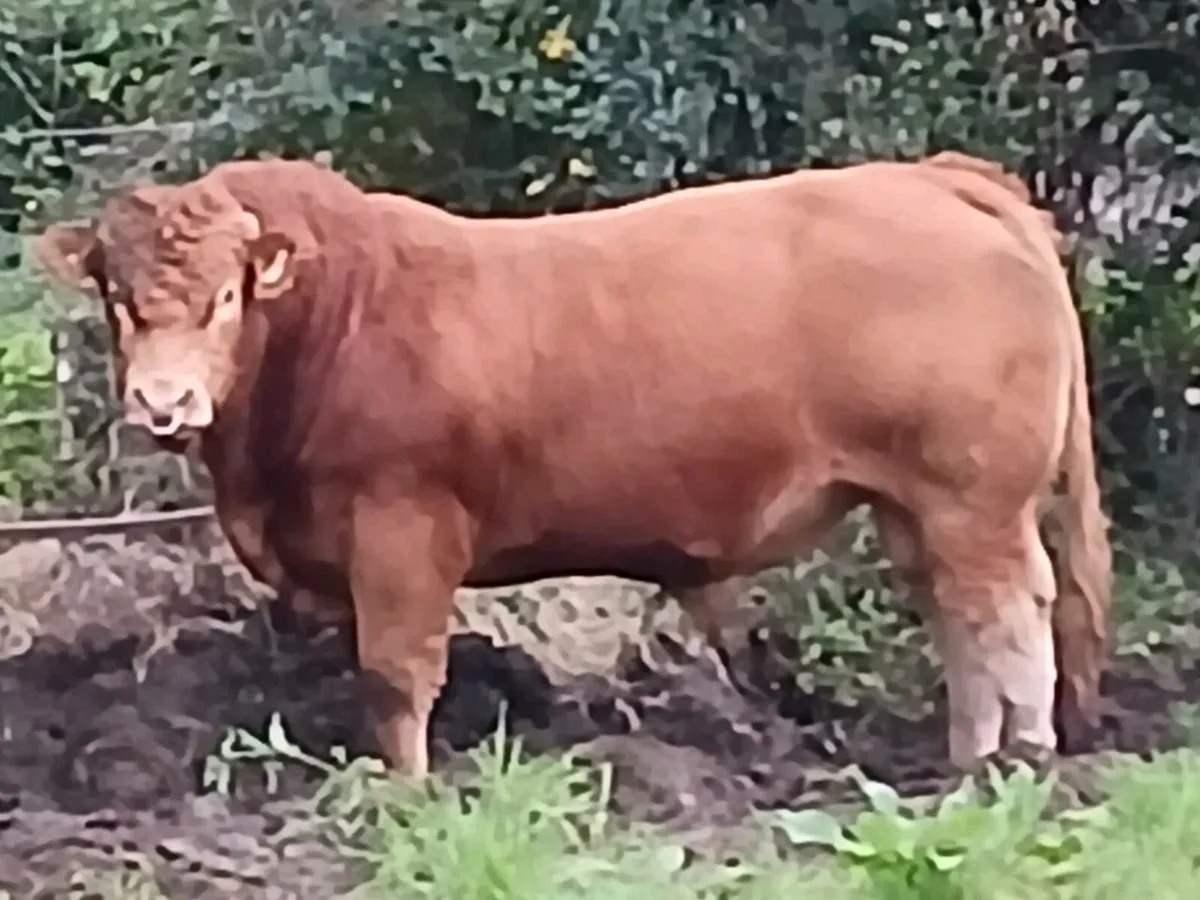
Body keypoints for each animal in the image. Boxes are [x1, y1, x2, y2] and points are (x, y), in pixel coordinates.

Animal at [34, 151, 1111, 777]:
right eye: (117, 299)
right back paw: (965, 762)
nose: (164, 403)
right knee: (960, 617)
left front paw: (407, 796)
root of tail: (932, 177)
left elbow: (396, 676)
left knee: (1011, 612)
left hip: (975, 498)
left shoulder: (402, 526)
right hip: (917, 504)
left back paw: (1023, 764)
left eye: (225, 298)